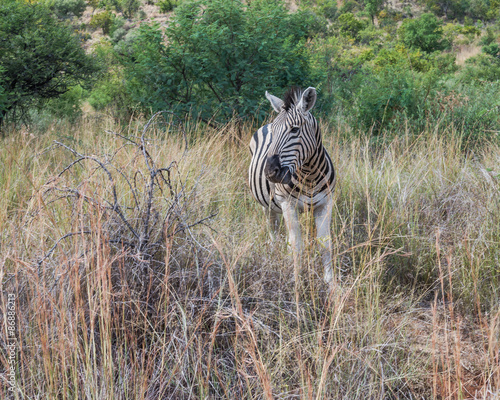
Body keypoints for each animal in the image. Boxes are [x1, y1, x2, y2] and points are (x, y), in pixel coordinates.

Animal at [249, 86, 336, 282]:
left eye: (295, 130)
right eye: (274, 132)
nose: (270, 172)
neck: (310, 175)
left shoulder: (325, 204)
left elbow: (325, 245)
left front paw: (332, 284)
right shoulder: (288, 204)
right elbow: (297, 246)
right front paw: (296, 282)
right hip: (268, 206)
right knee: (273, 233)